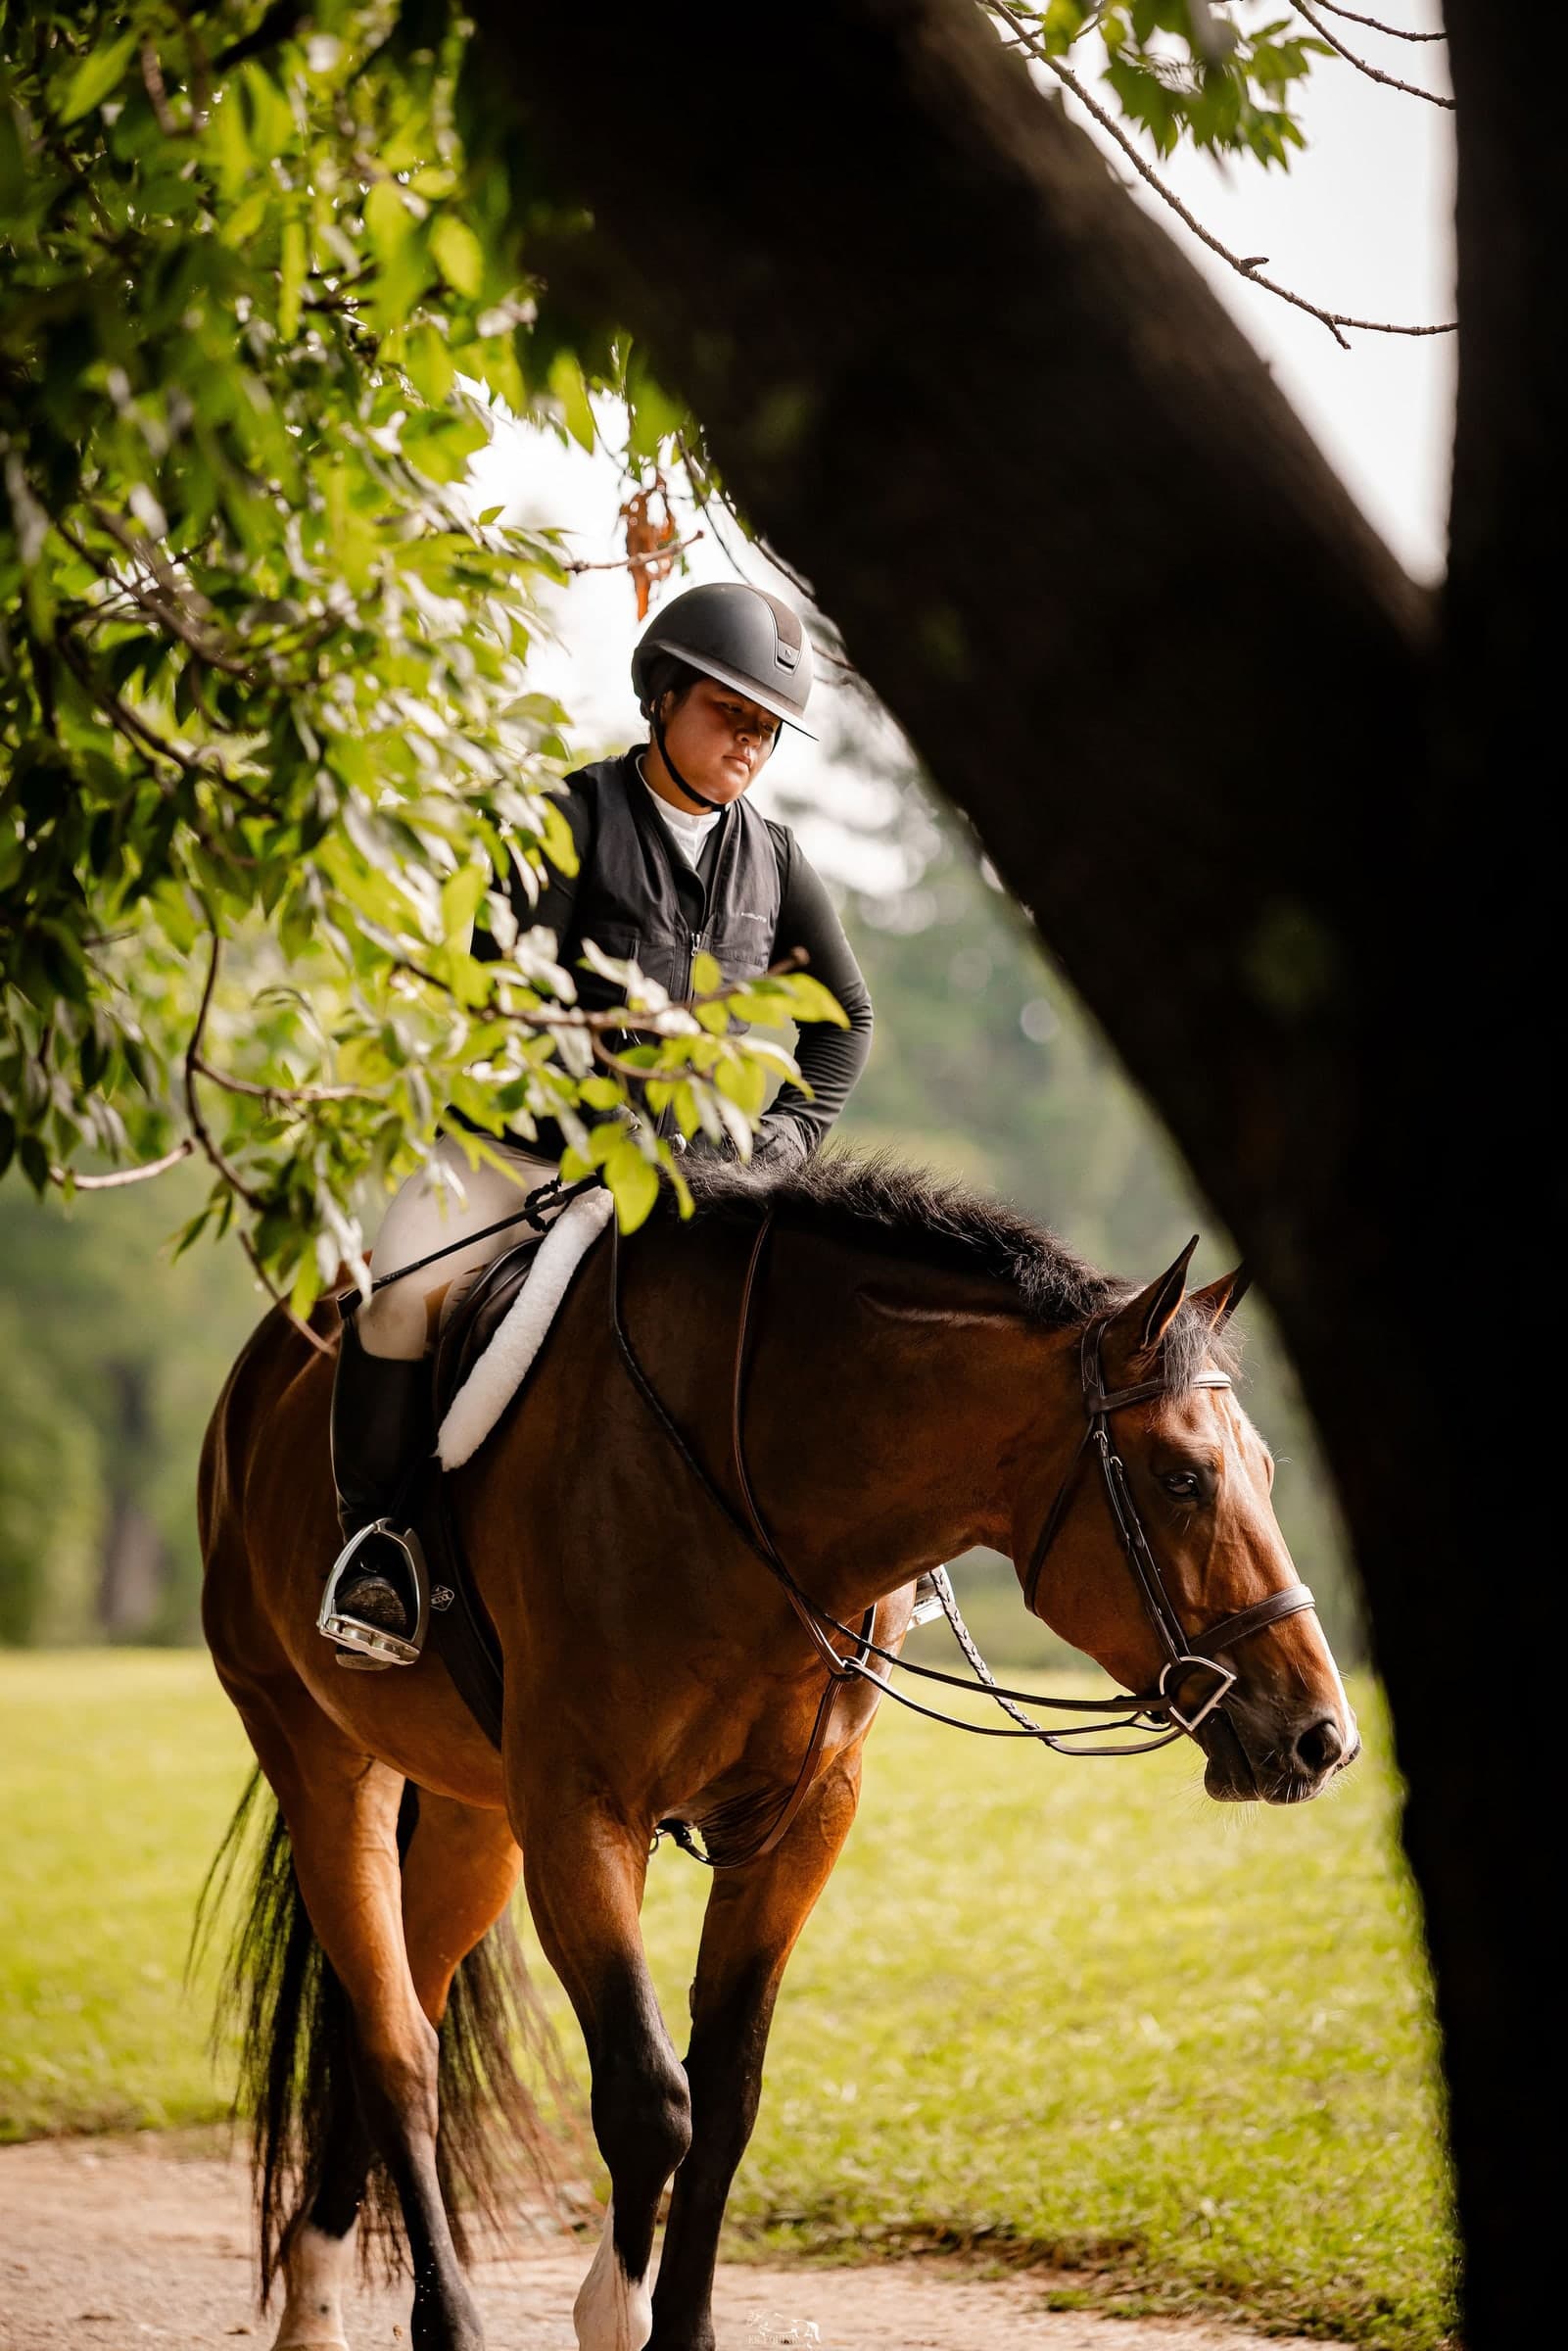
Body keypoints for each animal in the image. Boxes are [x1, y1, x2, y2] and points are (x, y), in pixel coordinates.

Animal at [198, 1151, 1357, 2351]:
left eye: (1262, 1470)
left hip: (477, 1824)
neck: (750, 1480)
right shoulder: (581, 1810)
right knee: (394, 2047)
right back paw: (388, 2318)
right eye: (1180, 1478)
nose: (1320, 1737)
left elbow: (726, 2100)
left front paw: (679, 2328)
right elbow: (648, 2100)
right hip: (323, 1761)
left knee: (396, 2028)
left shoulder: (796, 1822)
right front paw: (613, 2314)